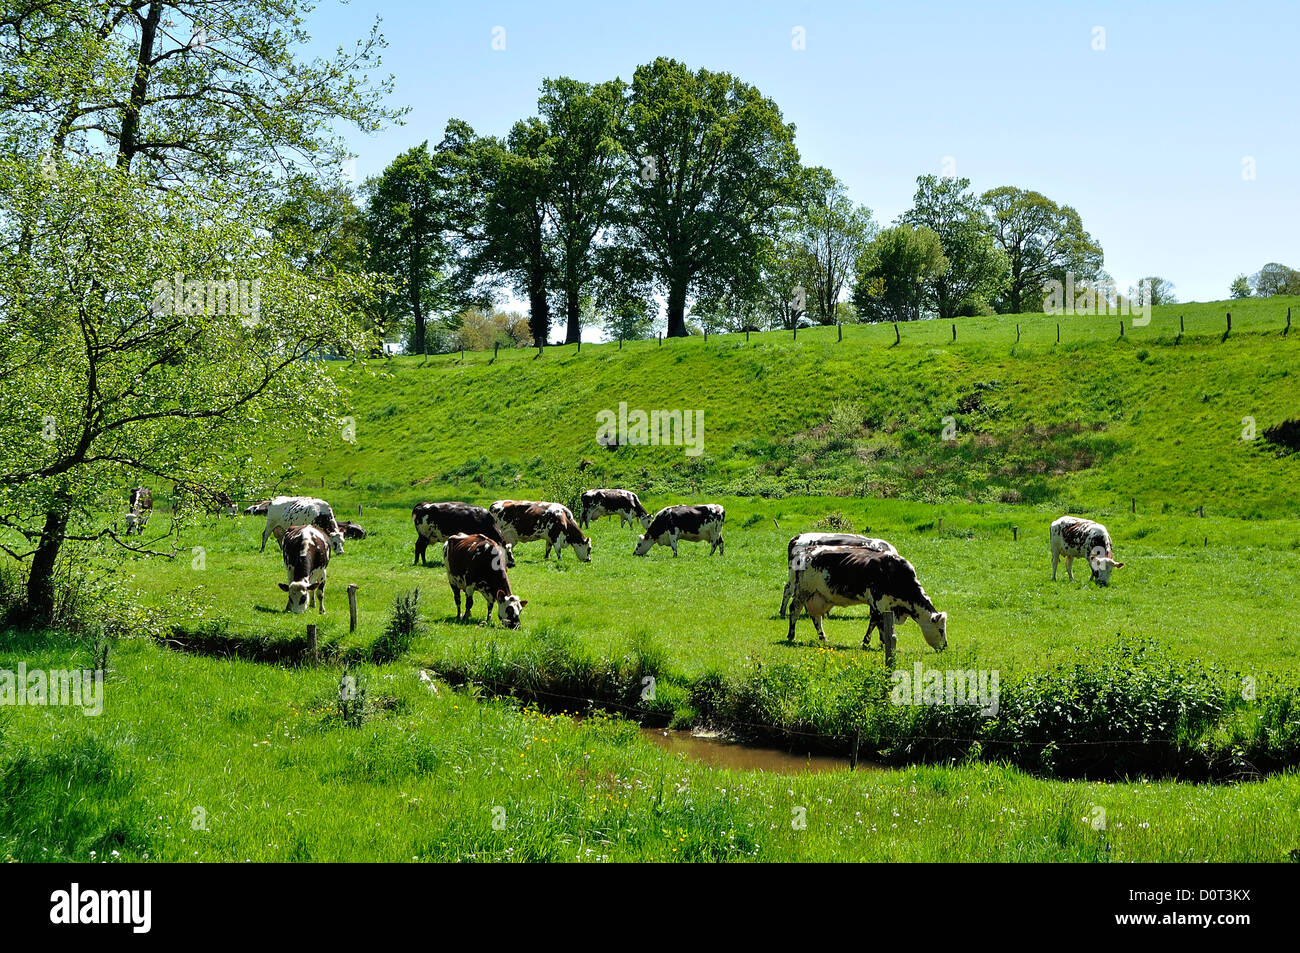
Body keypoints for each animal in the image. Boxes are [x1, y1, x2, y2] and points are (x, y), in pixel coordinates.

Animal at [785, 546, 951, 650]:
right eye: (941, 629)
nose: (945, 646)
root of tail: (805, 552)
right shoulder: (878, 602)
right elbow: (877, 623)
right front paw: (874, 643)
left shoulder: (883, 606)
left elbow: (878, 623)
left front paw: (880, 643)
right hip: (802, 591)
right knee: (794, 610)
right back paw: (791, 636)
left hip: (818, 596)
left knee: (816, 618)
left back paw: (824, 639)